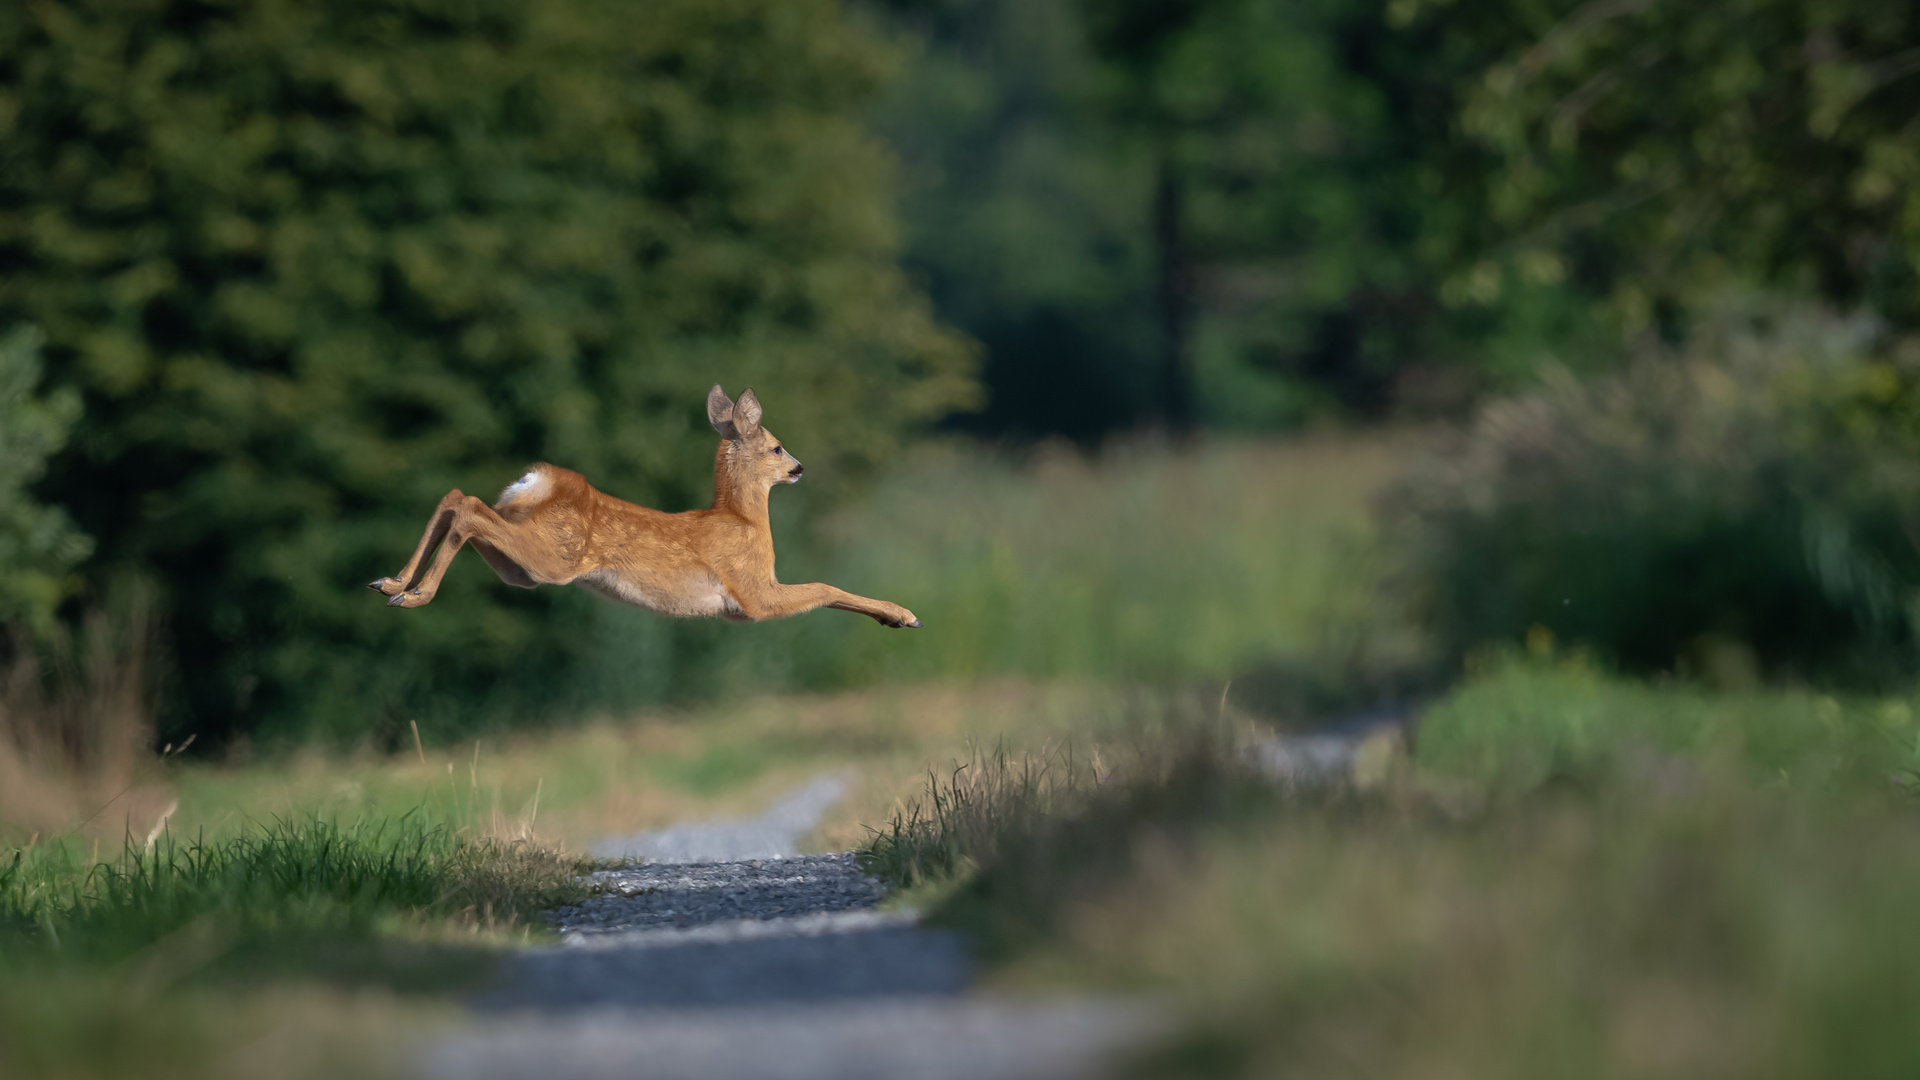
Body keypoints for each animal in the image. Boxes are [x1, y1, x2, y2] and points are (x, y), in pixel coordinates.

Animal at [370, 382, 925, 626]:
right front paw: (902, 615)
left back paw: (391, 583)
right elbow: (825, 588)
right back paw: (411, 596)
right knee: (467, 507)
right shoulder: (752, 595)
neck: (743, 520)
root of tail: (538, 481)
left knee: (459, 498)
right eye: (776, 447)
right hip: (552, 557)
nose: (799, 468)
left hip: (521, 566)